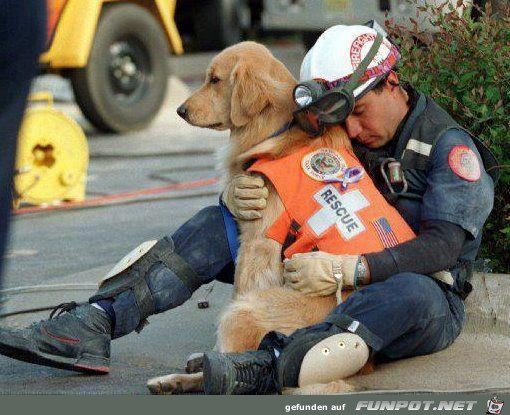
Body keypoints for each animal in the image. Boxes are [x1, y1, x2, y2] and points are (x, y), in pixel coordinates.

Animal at [147, 42, 370, 396]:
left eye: (215, 80)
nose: (180, 110)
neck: (275, 126)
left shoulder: (257, 243)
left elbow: (241, 286)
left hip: (243, 313)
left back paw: (181, 378)